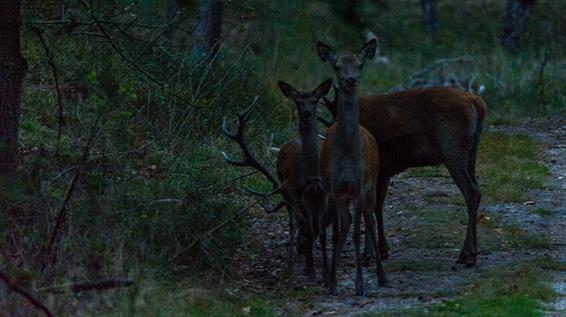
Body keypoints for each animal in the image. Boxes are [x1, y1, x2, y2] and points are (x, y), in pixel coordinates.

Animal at [318, 39, 388, 294]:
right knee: (348, 222)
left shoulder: (359, 187)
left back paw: (381, 276)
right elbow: (339, 232)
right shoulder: (335, 188)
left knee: (370, 220)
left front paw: (359, 284)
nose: (350, 80)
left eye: (360, 64)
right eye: (337, 66)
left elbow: (357, 234)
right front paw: (332, 282)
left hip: (372, 185)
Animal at [320, 66, 488, 266]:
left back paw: (466, 254)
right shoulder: (383, 171)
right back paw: (473, 253)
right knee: (476, 189)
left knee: (471, 192)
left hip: (452, 150)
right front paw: (382, 250)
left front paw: (368, 254)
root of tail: (477, 102)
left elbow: (367, 208)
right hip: (472, 152)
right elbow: (378, 206)